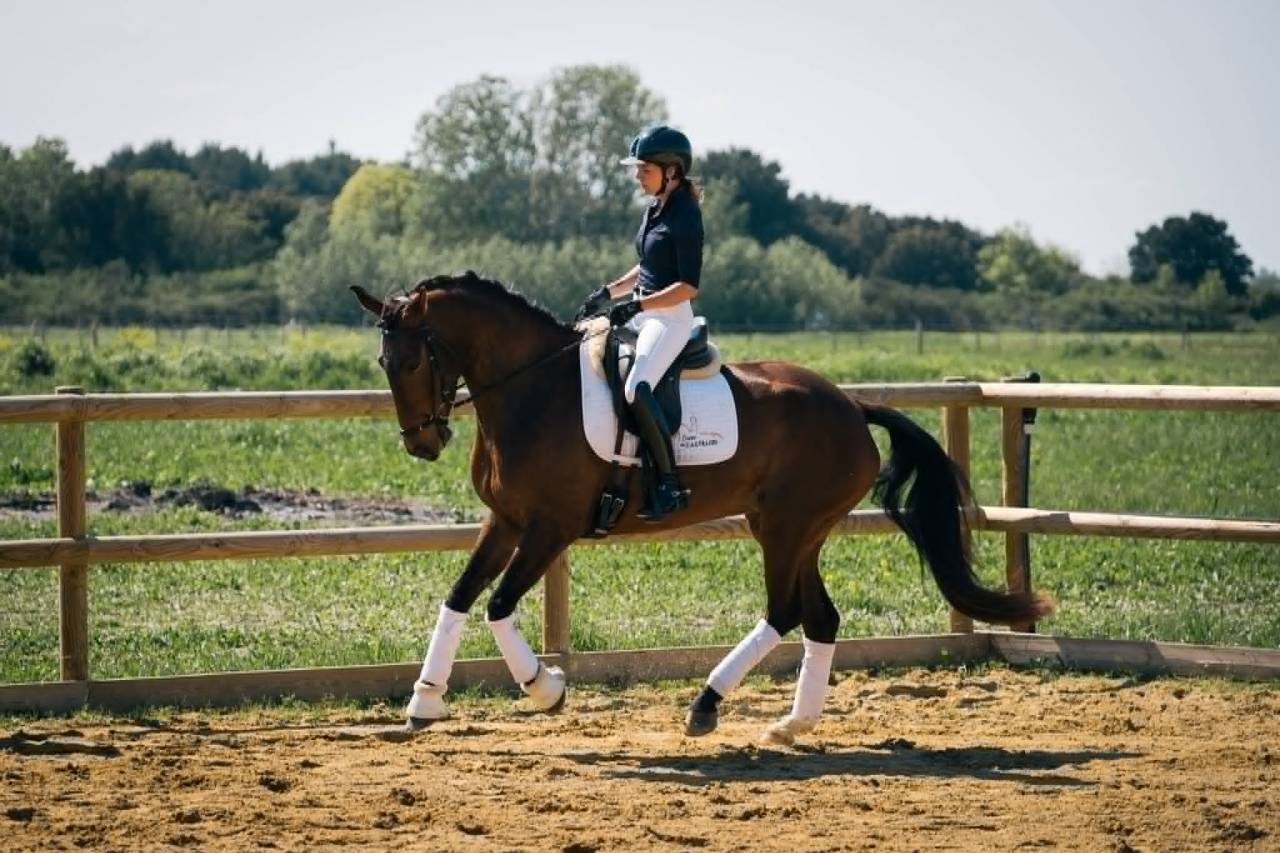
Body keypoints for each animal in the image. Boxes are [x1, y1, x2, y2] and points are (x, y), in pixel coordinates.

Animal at [352, 272, 1052, 745]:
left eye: (411, 360)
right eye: (385, 362)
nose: (421, 444)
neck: (532, 389)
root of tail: (852, 406)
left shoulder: (551, 528)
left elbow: (497, 605)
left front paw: (546, 689)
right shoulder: (507, 521)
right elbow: (459, 597)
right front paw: (424, 702)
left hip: (787, 529)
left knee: (785, 611)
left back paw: (707, 705)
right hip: (793, 530)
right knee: (820, 617)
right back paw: (791, 724)